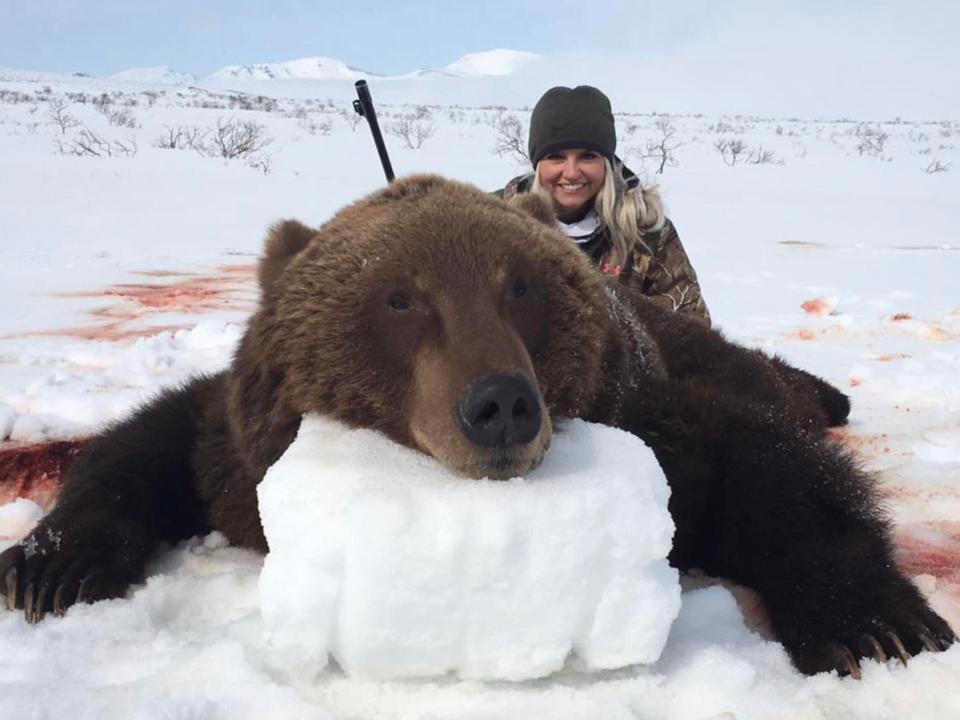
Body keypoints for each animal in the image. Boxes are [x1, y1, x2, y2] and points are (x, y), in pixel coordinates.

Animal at [0, 174, 952, 680]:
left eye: (520, 286)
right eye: (400, 298)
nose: (501, 403)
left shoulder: (652, 418)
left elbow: (771, 471)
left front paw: (877, 625)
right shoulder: (239, 446)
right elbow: (149, 444)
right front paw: (48, 567)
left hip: (693, 347)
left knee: (767, 380)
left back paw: (829, 395)